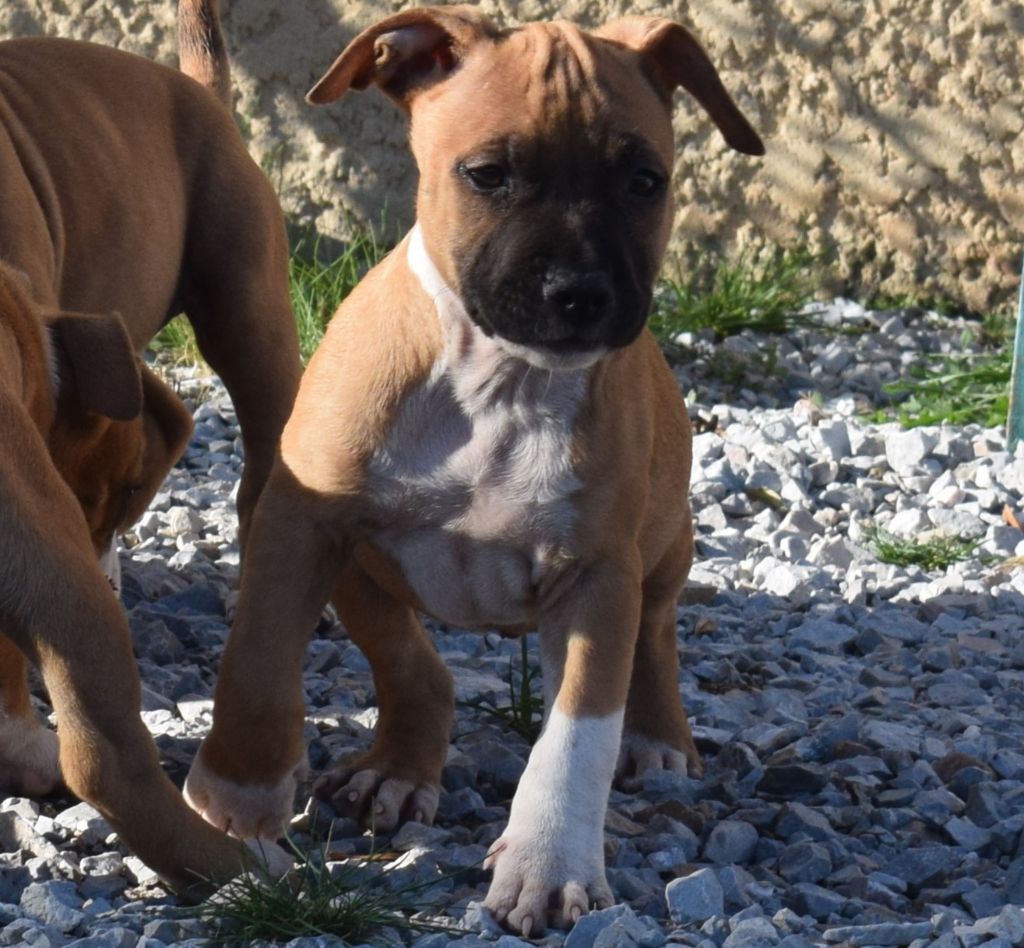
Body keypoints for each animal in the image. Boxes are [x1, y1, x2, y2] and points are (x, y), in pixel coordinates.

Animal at [186, 1, 761, 933]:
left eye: (645, 181)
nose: (579, 292)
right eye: (489, 175)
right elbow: (262, 659)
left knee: (656, 635)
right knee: (414, 664)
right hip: (362, 567)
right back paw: (394, 771)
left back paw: (658, 737)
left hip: (667, 545)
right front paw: (237, 800)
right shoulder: (300, 520)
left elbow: (577, 735)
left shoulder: (600, 577)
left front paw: (549, 864)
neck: (500, 378)